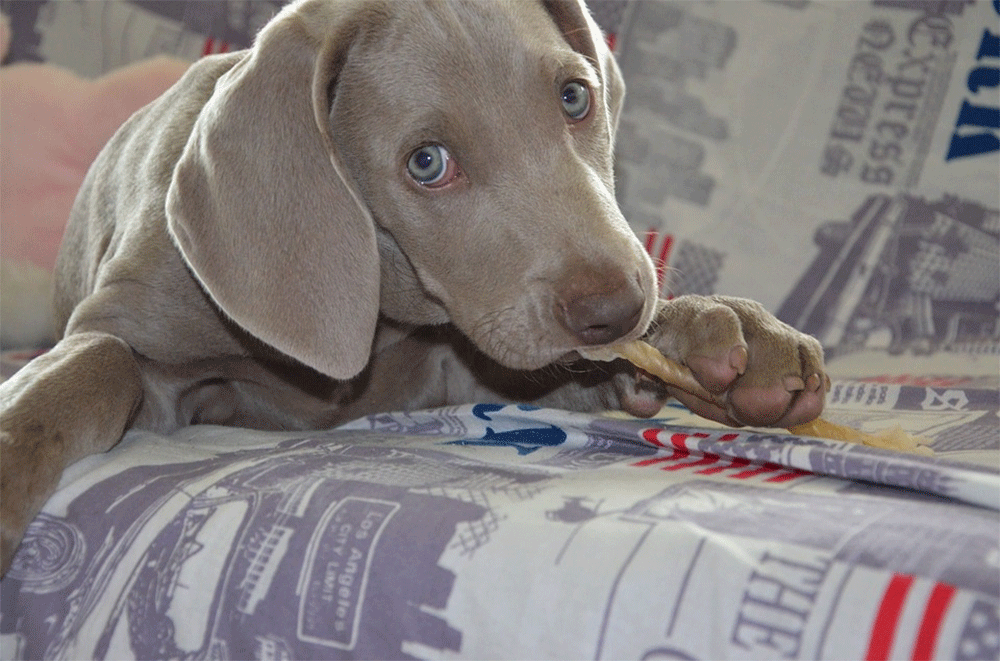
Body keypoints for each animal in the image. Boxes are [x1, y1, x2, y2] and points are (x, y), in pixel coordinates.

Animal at [0, 0, 828, 572]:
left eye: (575, 97)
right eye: (427, 162)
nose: (619, 308)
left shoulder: (470, 365)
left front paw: (730, 337)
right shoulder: (148, 352)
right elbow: (97, 359)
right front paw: (13, 450)